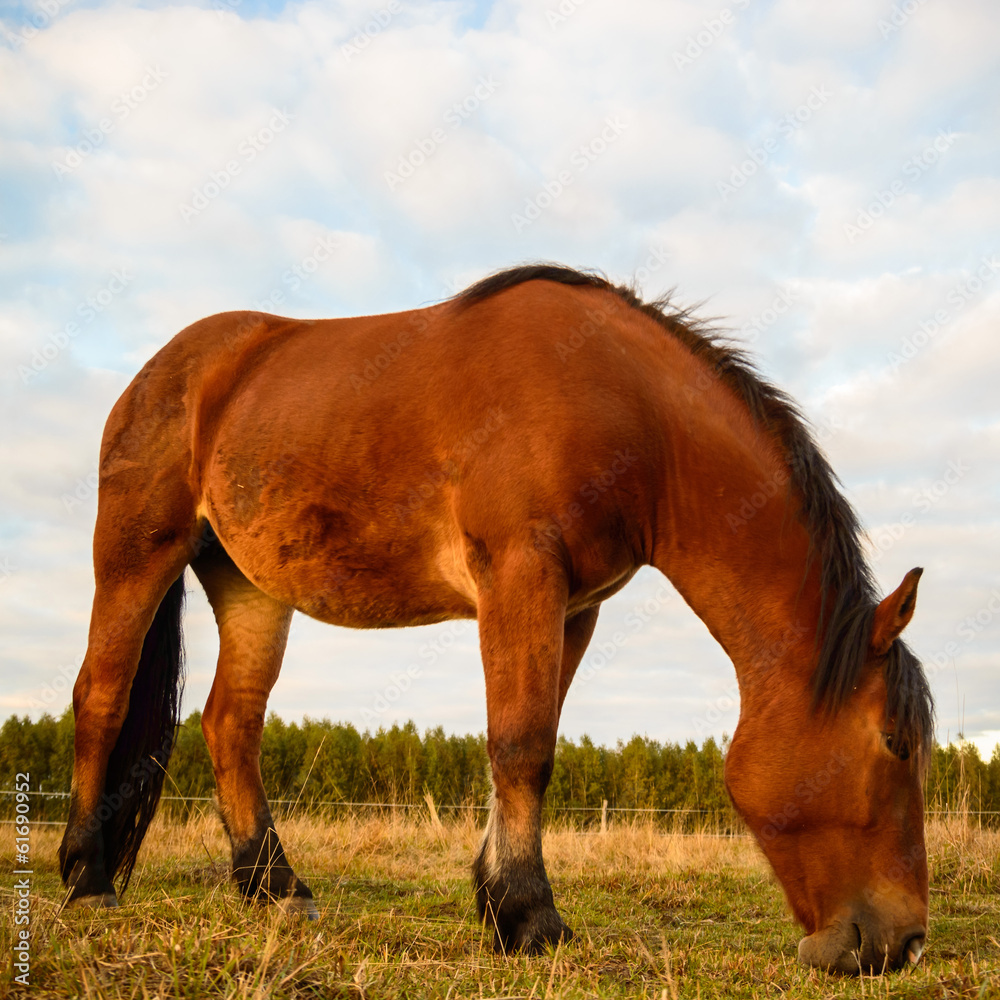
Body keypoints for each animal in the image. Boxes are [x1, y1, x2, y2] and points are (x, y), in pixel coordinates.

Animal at [58, 263, 933, 973]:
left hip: (250, 587)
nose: (905, 942)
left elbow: (530, 740)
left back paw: (275, 887)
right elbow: (521, 746)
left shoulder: (575, 606)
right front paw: (527, 915)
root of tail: (166, 370)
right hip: (137, 552)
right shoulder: (520, 572)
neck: (631, 410)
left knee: (230, 723)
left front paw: (497, 899)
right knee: (101, 696)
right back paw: (88, 876)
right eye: (893, 743)